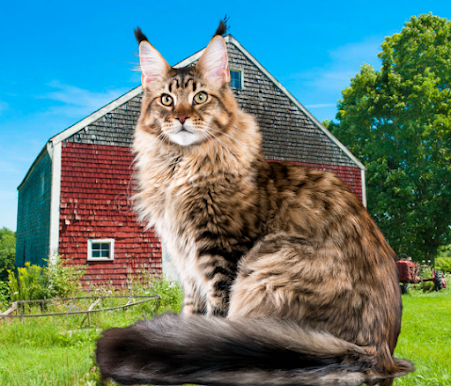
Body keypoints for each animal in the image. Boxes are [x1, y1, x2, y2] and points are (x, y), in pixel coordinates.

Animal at [95, 21, 414, 386]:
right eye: (166, 100)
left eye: (200, 97)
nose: (181, 118)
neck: (182, 167)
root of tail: (381, 353)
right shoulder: (186, 263)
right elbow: (191, 316)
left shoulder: (220, 254)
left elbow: (214, 320)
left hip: (268, 267)